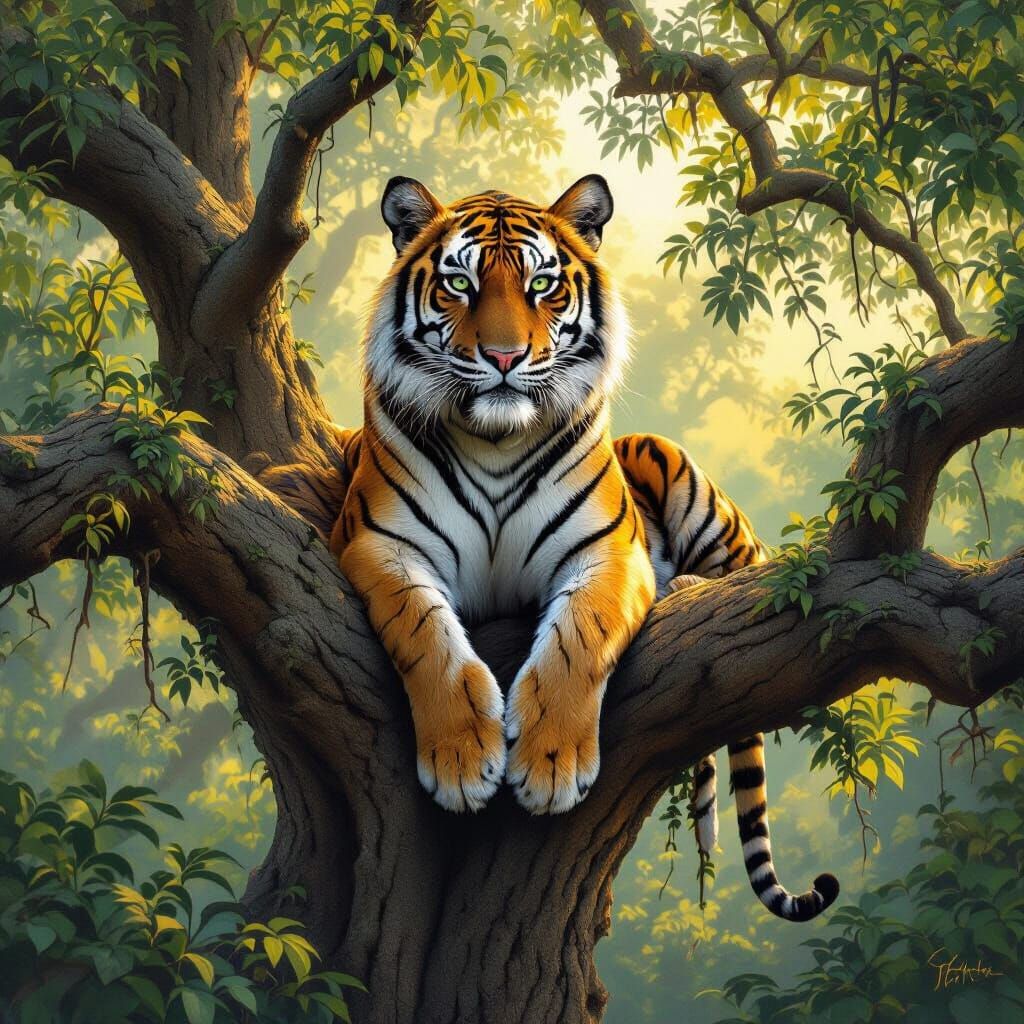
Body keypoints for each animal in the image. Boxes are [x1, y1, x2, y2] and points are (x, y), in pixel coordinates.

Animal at [260, 174, 839, 923]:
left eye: (542, 285)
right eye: (459, 284)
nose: (505, 358)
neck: (496, 440)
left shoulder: (607, 553)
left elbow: (578, 640)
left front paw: (551, 766)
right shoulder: (382, 546)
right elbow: (429, 639)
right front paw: (460, 762)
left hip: (678, 471)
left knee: (755, 568)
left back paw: (691, 588)